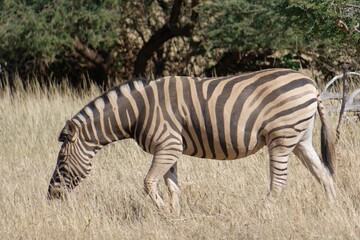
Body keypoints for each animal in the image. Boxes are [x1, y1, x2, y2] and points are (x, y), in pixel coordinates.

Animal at [47, 68, 334, 212]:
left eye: (61, 159)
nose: (50, 197)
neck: (137, 111)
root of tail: (311, 83)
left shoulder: (167, 145)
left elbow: (149, 183)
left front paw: (163, 211)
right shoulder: (169, 149)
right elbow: (172, 186)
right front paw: (175, 216)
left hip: (282, 137)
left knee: (280, 182)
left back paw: (263, 213)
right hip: (300, 139)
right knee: (324, 174)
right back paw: (334, 210)